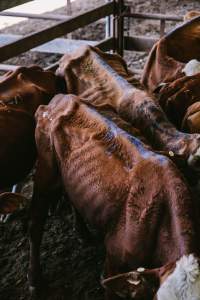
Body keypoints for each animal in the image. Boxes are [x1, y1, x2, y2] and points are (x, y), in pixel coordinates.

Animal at [5, 94, 200, 300]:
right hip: (46, 171)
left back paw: (82, 233)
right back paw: (34, 280)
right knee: (35, 224)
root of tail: (62, 98)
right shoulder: (113, 264)